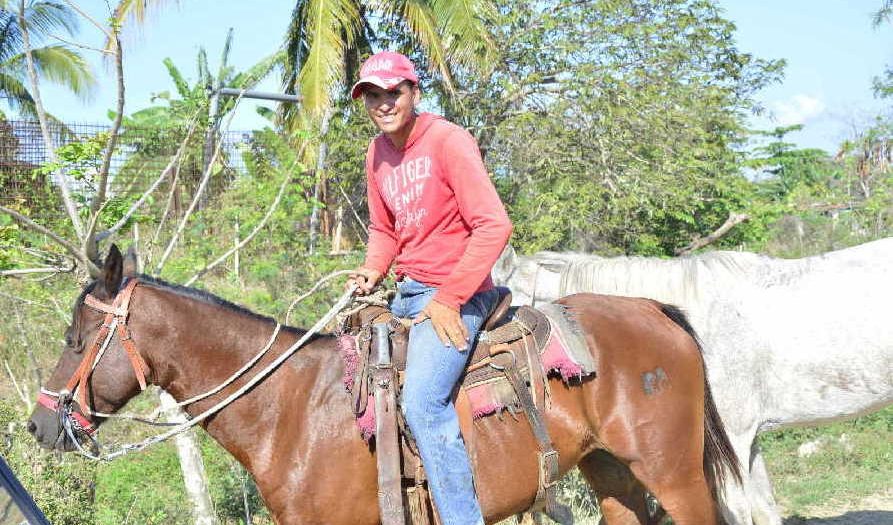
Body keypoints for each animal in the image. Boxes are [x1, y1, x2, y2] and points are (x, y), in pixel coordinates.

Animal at [27, 247, 740, 524]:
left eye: (75, 338)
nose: (40, 424)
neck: (290, 411)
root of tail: (655, 310)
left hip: (674, 472)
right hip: (611, 471)